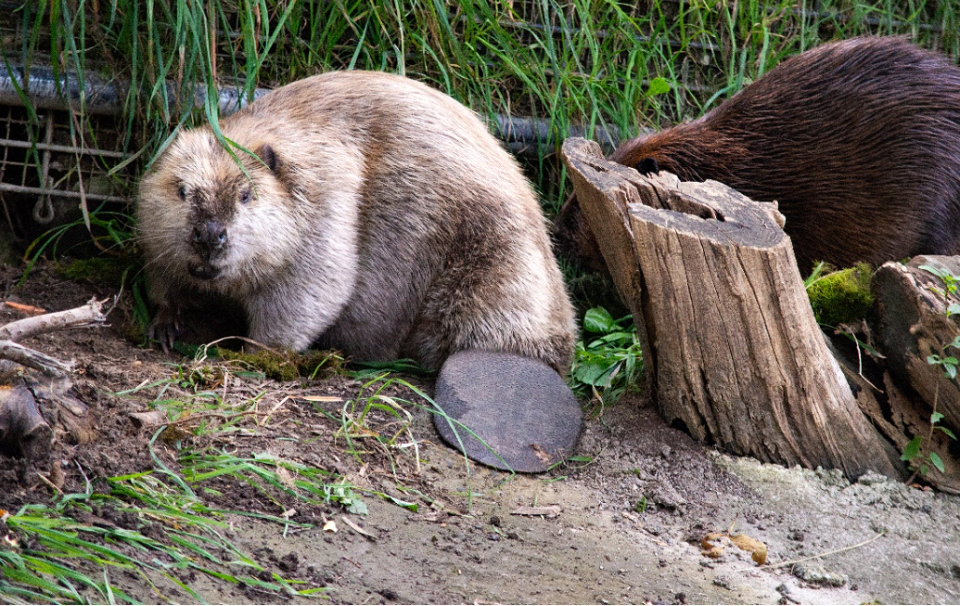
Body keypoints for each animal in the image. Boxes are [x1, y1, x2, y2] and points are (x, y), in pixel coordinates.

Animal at [137, 71, 576, 376]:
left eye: (246, 194)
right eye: (182, 190)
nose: (209, 235)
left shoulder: (328, 199)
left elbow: (312, 287)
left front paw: (254, 354)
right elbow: (162, 271)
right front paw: (166, 325)